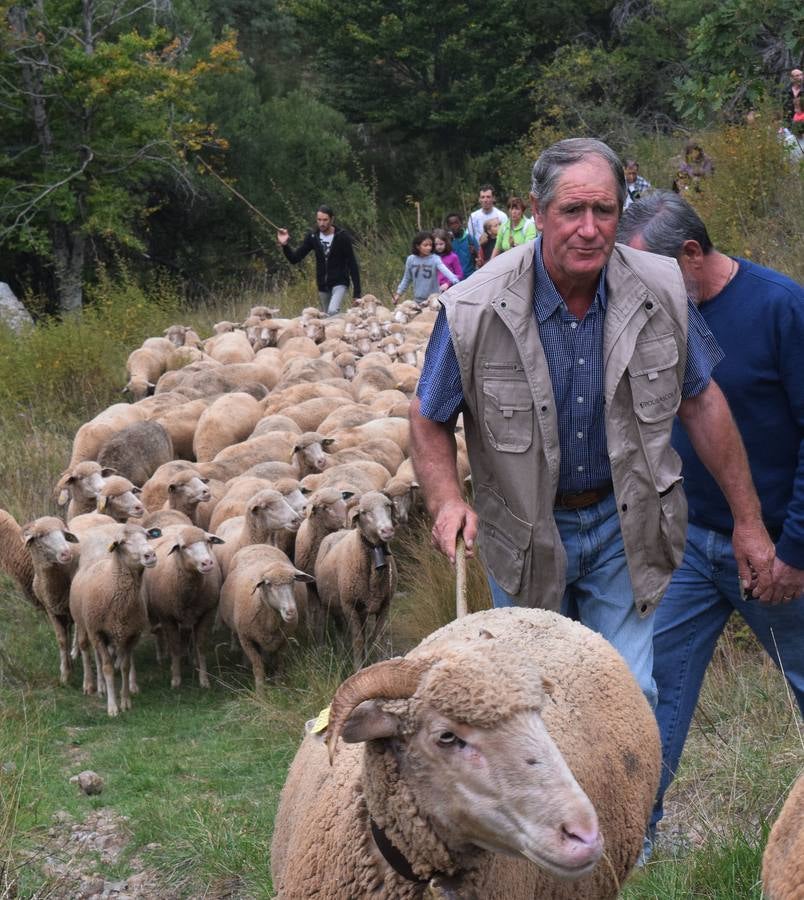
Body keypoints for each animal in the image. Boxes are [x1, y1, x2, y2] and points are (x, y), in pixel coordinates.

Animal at [220, 544, 314, 692]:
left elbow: (279, 663)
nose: (291, 612)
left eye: (293, 581)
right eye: (268, 584)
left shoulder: (284, 639)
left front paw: (279, 686)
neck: (271, 620)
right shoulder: (246, 639)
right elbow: (258, 667)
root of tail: (258, 544)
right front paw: (260, 692)